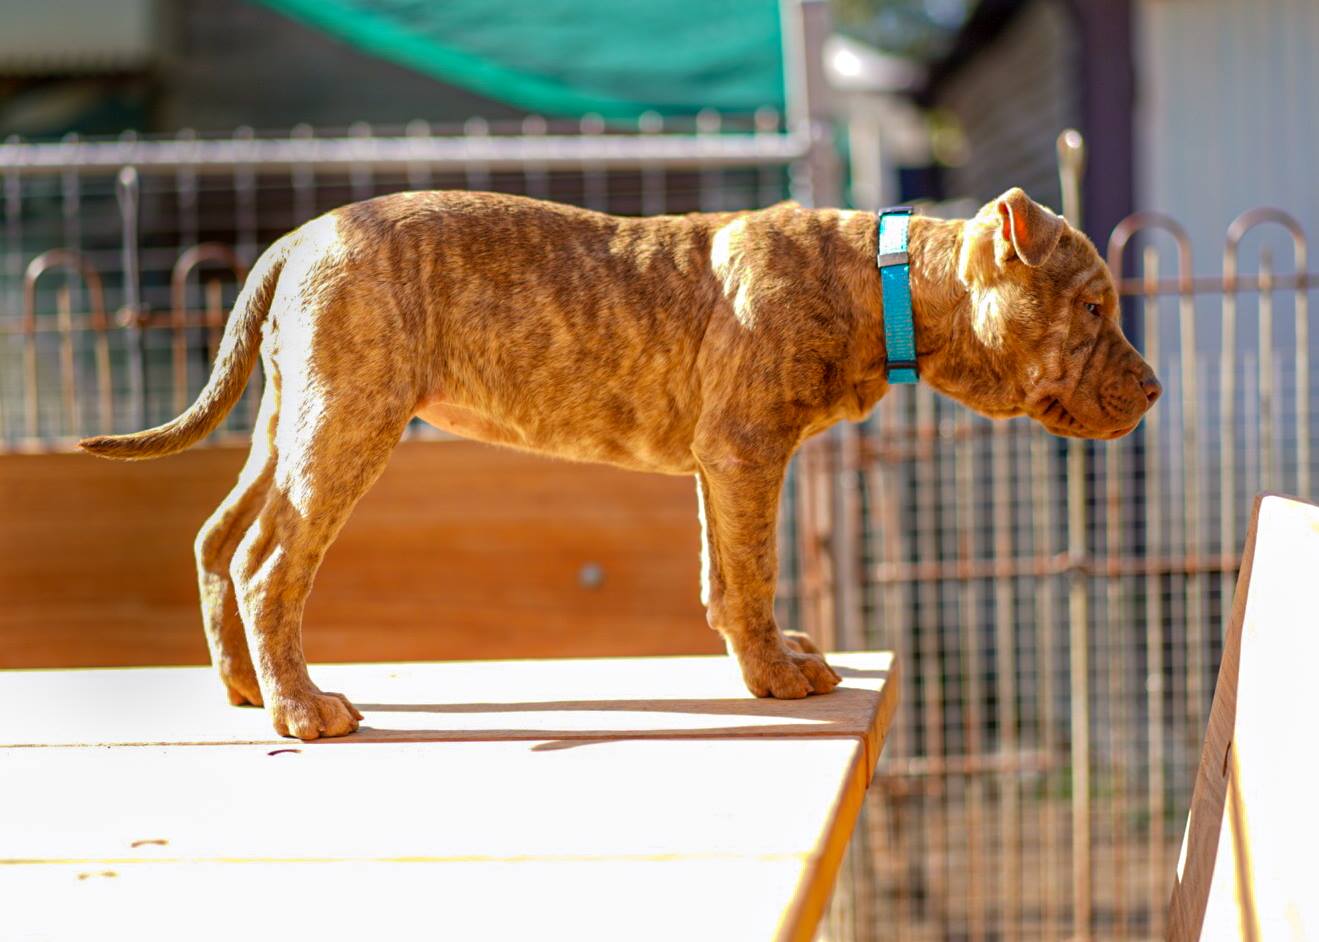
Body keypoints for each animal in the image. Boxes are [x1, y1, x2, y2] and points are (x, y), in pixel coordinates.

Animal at [80, 187, 1161, 740]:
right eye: (1092, 307)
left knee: (218, 538)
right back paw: (302, 707)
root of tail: (296, 237)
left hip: (291, 419)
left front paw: (768, 660)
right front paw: (777, 677)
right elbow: (754, 570)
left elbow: (724, 576)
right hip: (346, 424)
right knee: (269, 560)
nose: (1152, 390)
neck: (883, 281)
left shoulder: (719, 466)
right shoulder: (745, 453)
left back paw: (247, 689)